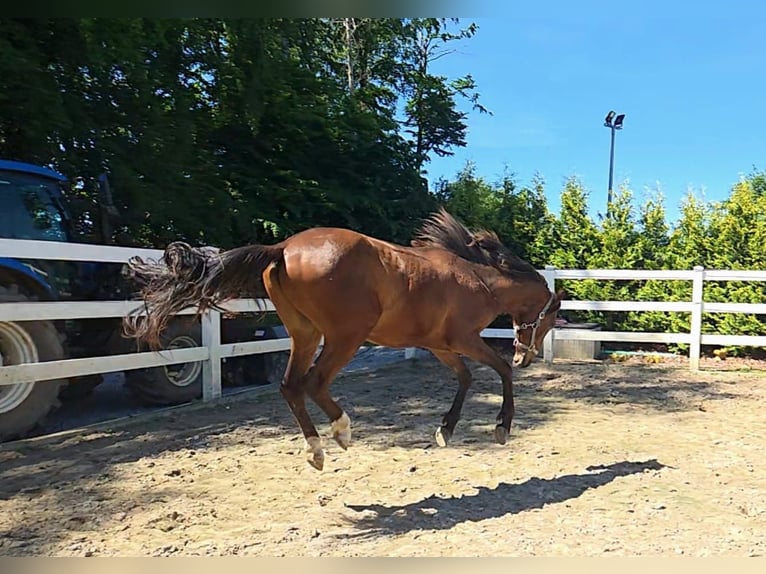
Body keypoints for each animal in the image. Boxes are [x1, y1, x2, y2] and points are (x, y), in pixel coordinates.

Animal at [122, 208, 563, 471]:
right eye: (551, 317)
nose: (527, 356)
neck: (478, 280)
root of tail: (283, 248)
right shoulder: (465, 338)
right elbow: (498, 371)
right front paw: (502, 426)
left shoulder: (441, 346)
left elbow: (466, 378)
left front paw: (446, 430)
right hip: (345, 337)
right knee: (314, 383)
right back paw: (342, 432)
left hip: (305, 334)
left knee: (290, 386)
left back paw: (316, 450)